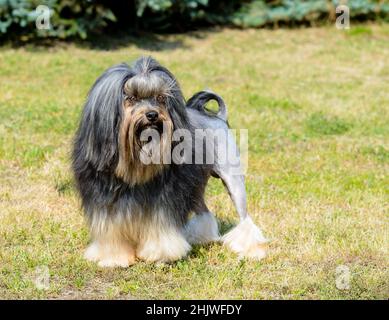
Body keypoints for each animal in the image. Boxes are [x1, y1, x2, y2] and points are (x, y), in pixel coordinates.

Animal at [73, 56, 266, 266]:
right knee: (204, 211)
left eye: (160, 98)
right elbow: (111, 231)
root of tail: (219, 119)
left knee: (245, 218)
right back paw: (200, 238)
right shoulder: (104, 200)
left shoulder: (164, 199)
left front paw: (160, 255)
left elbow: (160, 229)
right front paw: (114, 259)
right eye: (130, 98)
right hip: (195, 187)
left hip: (232, 180)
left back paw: (252, 251)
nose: (152, 115)